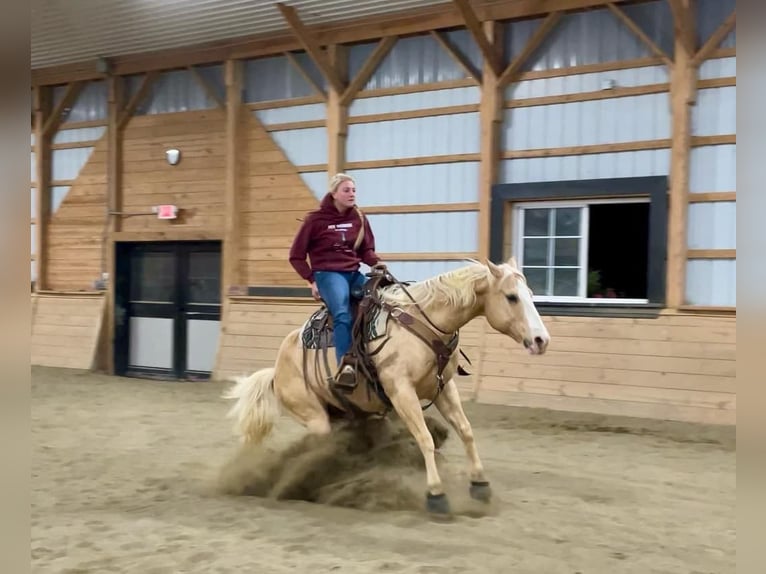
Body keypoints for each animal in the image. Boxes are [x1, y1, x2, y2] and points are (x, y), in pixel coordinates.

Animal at [222, 260, 552, 516]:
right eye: (511, 297)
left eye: (529, 294)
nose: (541, 340)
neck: (422, 322)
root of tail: (277, 370)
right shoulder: (401, 392)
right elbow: (425, 439)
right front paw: (436, 495)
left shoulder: (444, 388)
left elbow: (466, 431)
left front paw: (480, 485)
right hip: (314, 417)